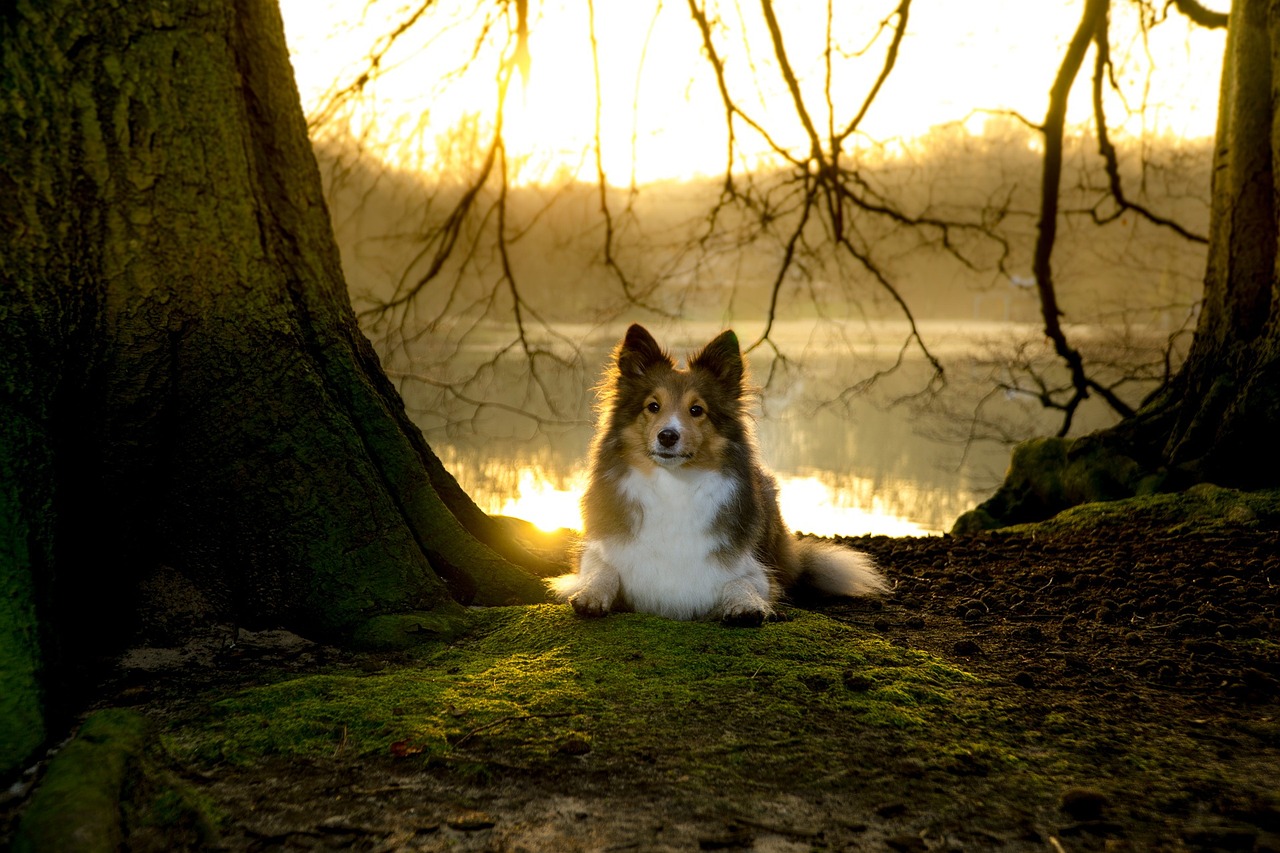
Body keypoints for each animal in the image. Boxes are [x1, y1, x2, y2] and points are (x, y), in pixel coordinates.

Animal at [545, 325, 885, 625]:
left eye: (697, 410)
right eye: (653, 406)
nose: (667, 436)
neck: (673, 486)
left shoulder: (754, 570)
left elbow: (741, 582)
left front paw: (745, 606)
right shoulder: (601, 551)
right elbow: (602, 570)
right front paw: (591, 594)